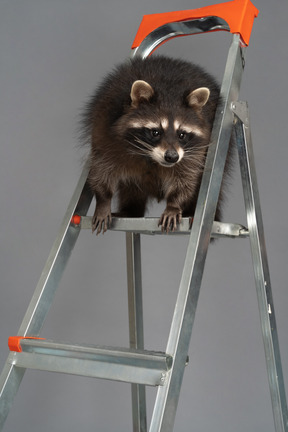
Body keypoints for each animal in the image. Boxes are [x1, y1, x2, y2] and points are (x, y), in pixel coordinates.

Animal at [81, 56, 232, 236]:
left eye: (182, 134)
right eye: (155, 132)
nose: (172, 157)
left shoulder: (196, 149)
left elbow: (187, 177)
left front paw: (174, 204)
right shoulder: (104, 130)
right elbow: (101, 169)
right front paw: (103, 201)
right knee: (131, 187)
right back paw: (131, 210)